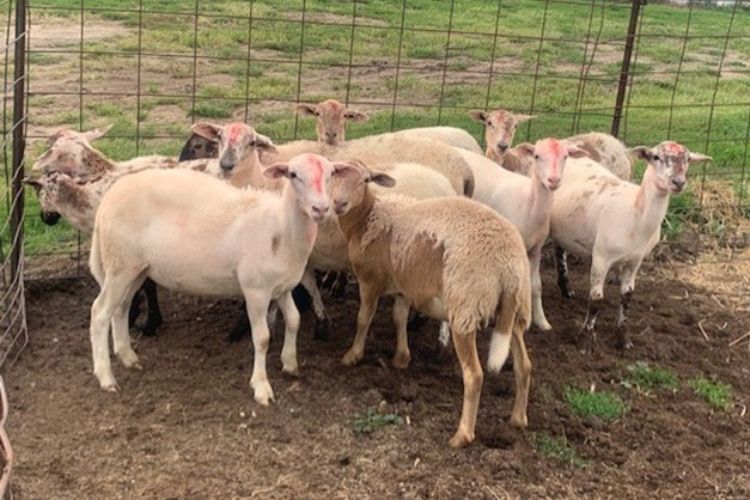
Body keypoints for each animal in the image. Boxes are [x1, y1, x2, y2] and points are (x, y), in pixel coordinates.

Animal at [87, 153, 349, 404]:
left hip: (137, 268)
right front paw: (261, 387)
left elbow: (294, 320)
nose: (321, 209)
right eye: (293, 175)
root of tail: (108, 199)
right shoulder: (256, 290)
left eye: (331, 174)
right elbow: (262, 338)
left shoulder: (282, 287)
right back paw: (106, 377)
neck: (281, 228)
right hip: (120, 264)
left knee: (121, 307)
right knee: (100, 313)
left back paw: (128, 357)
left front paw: (290, 364)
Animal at [330, 161, 532, 448]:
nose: (339, 203)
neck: (369, 217)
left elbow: (364, 319)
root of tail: (509, 264)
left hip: (466, 307)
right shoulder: (405, 283)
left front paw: (352, 355)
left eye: (365, 180)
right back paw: (517, 418)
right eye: (333, 175)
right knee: (524, 366)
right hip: (516, 311)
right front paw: (401, 358)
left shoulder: (370, 280)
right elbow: (399, 318)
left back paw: (462, 435)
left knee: (474, 375)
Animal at [456, 139, 587, 332]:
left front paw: (541, 321)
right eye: (537, 156)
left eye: (565, 156)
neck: (529, 202)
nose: (553, 180)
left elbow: (536, 286)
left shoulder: (536, 249)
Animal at [550, 141, 711, 353]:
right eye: (656, 157)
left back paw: (566, 289)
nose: (678, 182)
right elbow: (596, 300)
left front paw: (623, 340)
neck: (636, 211)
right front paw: (585, 341)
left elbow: (627, 297)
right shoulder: (601, 257)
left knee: (559, 249)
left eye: (688, 158)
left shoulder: (634, 261)